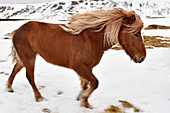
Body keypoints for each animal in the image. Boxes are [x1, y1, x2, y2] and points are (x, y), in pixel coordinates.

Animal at [6, 7, 146, 108]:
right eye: (136, 34)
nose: (142, 58)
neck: (93, 40)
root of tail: (18, 31)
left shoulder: (87, 68)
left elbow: (86, 84)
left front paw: (82, 99)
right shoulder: (79, 66)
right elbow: (95, 83)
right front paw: (84, 100)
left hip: (25, 58)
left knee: (16, 69)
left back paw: (9, 88)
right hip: (29, 58)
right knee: (29, 76)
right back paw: (39, 97)